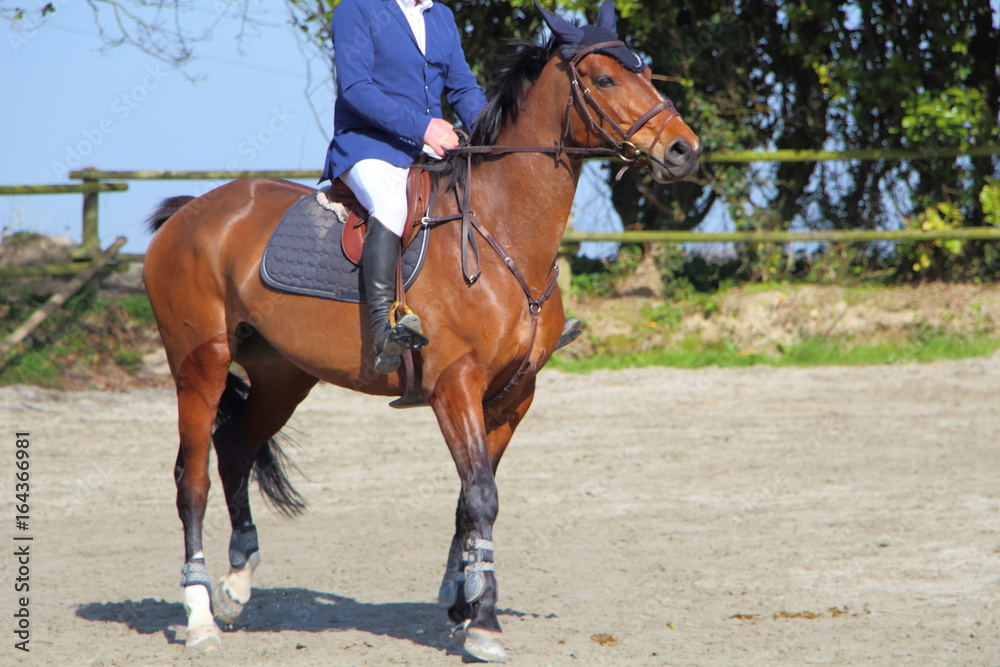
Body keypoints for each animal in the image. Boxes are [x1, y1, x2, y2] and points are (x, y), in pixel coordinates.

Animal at [145, 3, 700, 664]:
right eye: (607, 79)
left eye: (645, 70)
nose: (685, 150)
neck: (501, 232)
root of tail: (189, 212)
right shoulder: (453, 387)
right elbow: (482, 495)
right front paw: (485, 624)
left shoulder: (512, 395)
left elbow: (470, 497)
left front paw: (463, 602)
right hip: (199, 364)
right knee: (193, 478)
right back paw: (201, 614)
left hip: (284, 375)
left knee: (235, 448)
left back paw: (236, 586)